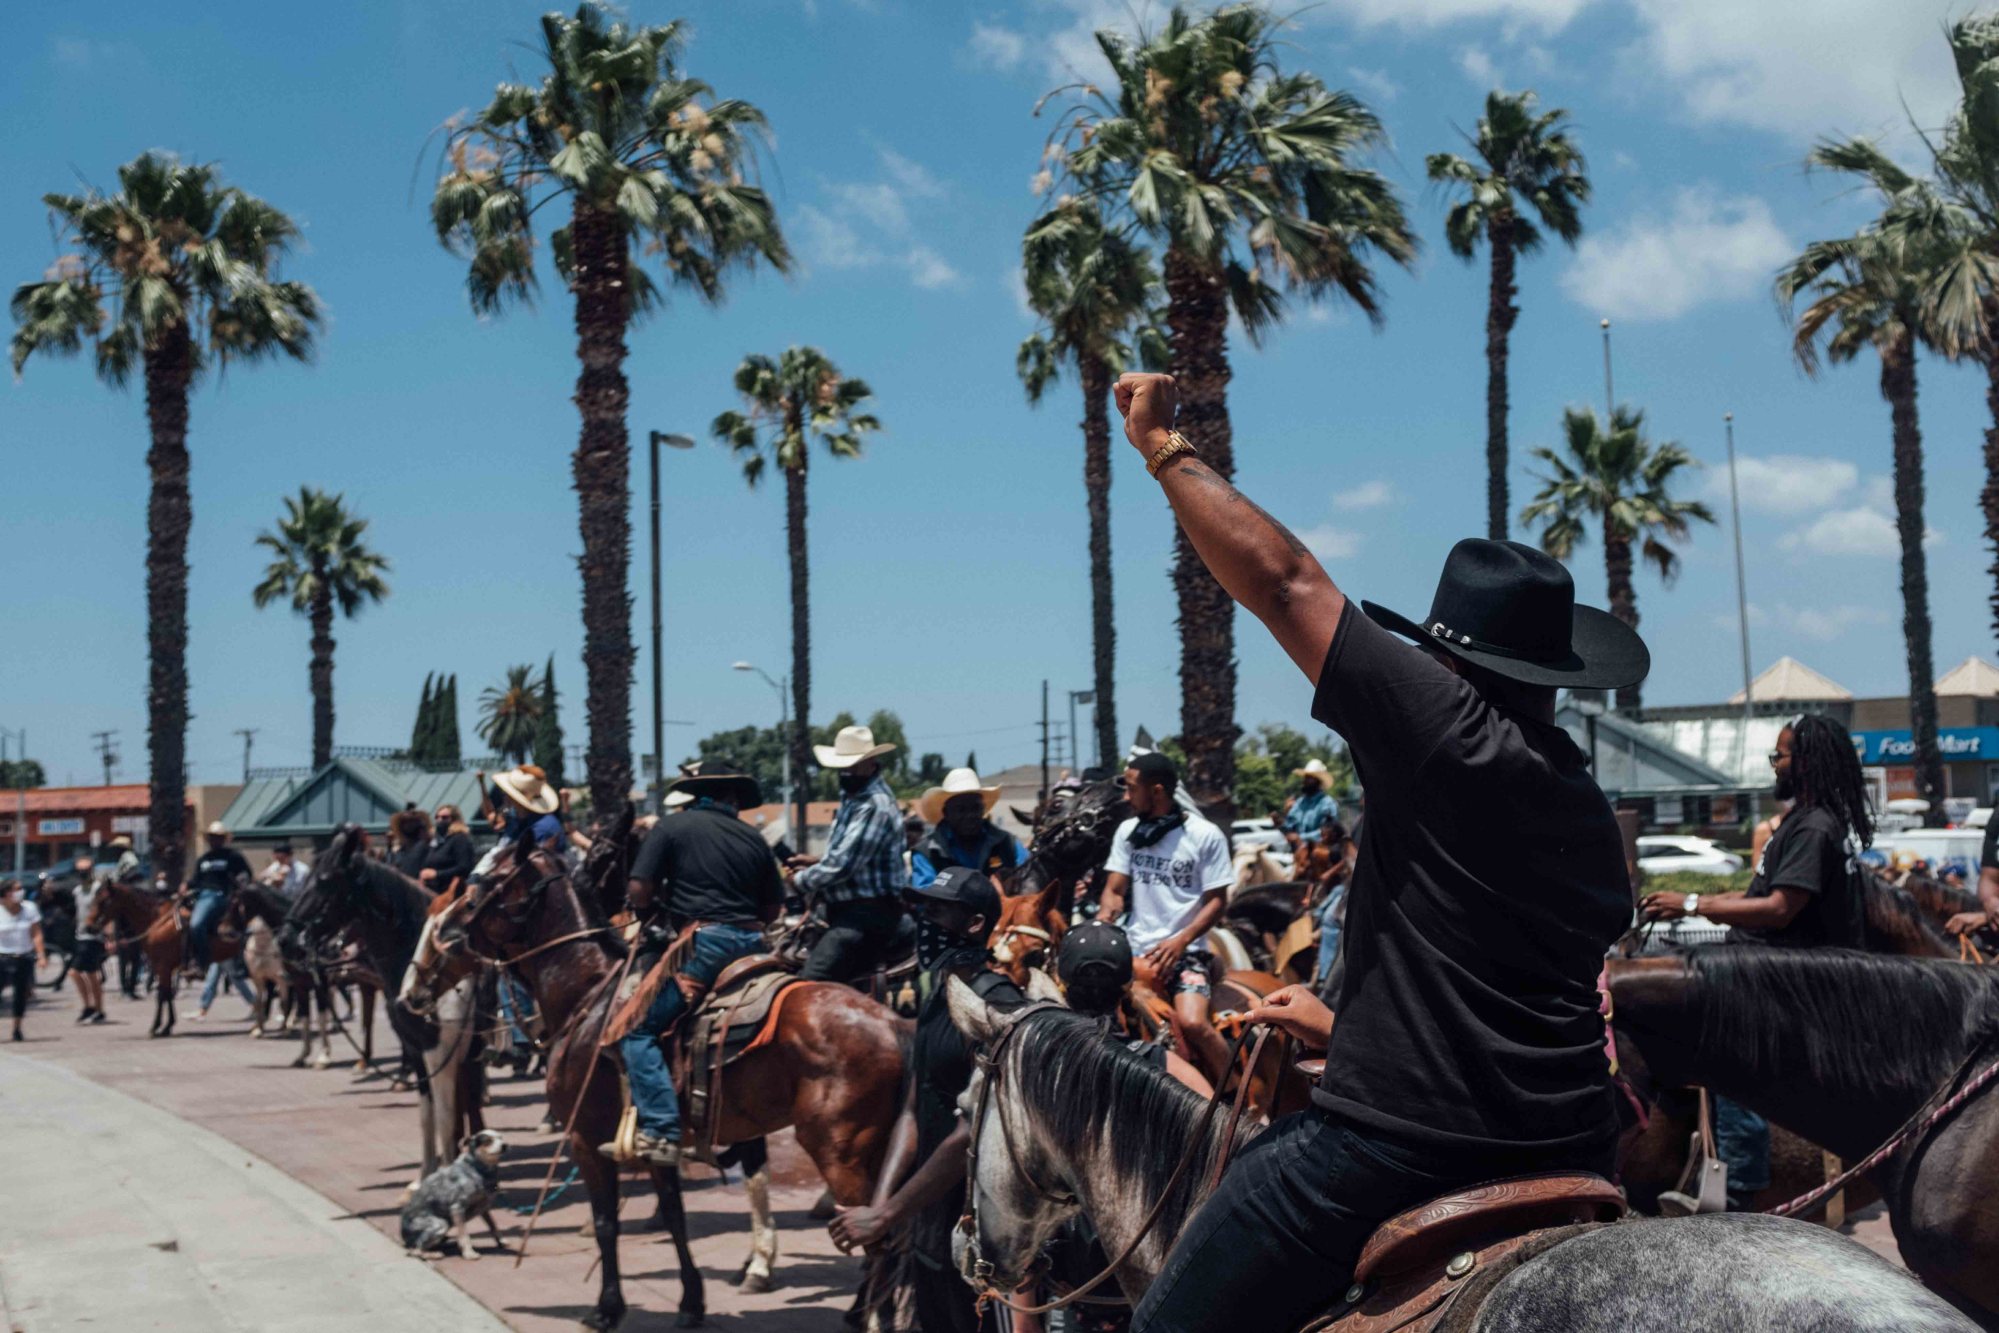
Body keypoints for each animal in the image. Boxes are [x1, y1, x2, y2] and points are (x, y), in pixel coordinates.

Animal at [85, 879, 243, 1039]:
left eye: (104, 901)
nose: (88, 927)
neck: (157, 921)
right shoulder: (163, 968)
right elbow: (167, 994)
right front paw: (167, 1026)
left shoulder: (163, 966)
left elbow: (161, 995)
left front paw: (156, 1027)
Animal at [397, 1127, 507, 1263]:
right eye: (487, 1141)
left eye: (501, 1137)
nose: (504, 1145)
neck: (476, 1169)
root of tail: (403, 1236)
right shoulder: (457, 1208)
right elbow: (464, 1235)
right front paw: (469, 1253)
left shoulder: (484, 1207)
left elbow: (493, 1225)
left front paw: (501, 1241)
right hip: (441, 1224)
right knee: (416, 1250)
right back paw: (434, 1254)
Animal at [421, 835, 907, 1327]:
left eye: (484, 882)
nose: (445, 931)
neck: (589, 997)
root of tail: (892, 1024)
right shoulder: (653, 1139)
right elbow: (675, 1216)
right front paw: (692, 1302)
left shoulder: (585, 1138)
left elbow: (606, 1223)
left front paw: (607, 1308)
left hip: (840, 1151)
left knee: (872, 1233)